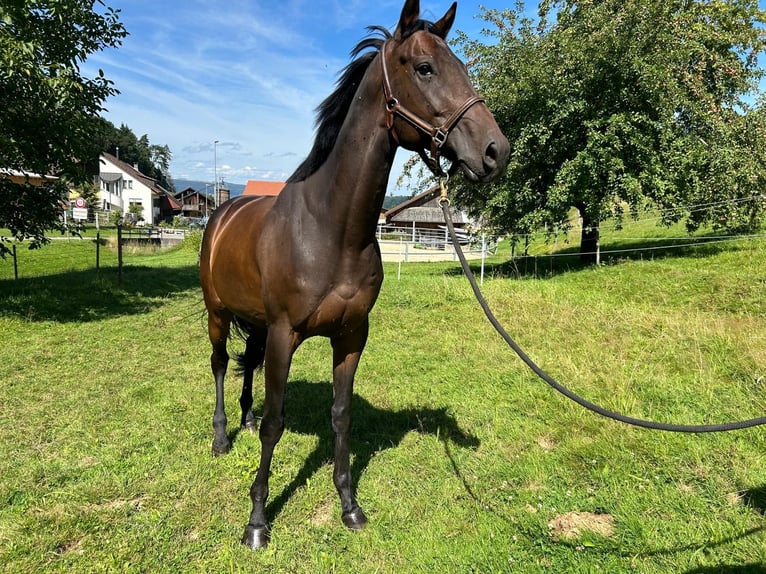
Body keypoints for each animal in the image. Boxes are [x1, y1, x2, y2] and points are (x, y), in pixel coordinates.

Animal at [200, 0, 510, 548]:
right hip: (218, 313)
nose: (497, 151)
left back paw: (244, 416)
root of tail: (223, 211)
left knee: (246, 366)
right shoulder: (285, 334)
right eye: (425, 68)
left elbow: (341, 417)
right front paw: (257, 521)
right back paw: (221, 436)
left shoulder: (350, 335)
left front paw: (349, 505)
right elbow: (277, 423)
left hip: (253, 322)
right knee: (219, 365)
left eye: (462, 67)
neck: (331, 230)